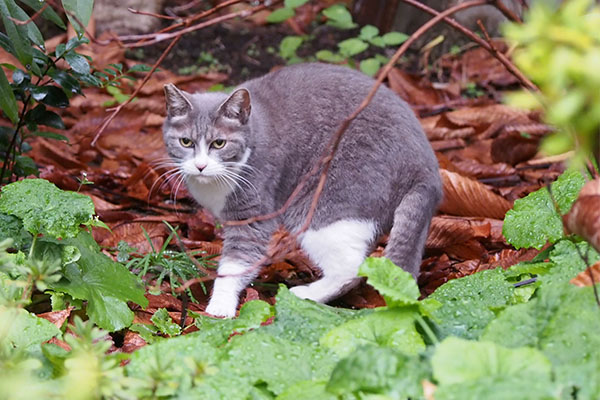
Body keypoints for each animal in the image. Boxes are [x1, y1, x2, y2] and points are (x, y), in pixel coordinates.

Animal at [162, 62, 442, 318]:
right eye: (186, 142)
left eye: (219, 143)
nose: (200, 165)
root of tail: (427, 168)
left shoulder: (254, 213)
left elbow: (236, 262)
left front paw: (219, 307)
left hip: (325, 204)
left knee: (350, 267)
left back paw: (304, 294)